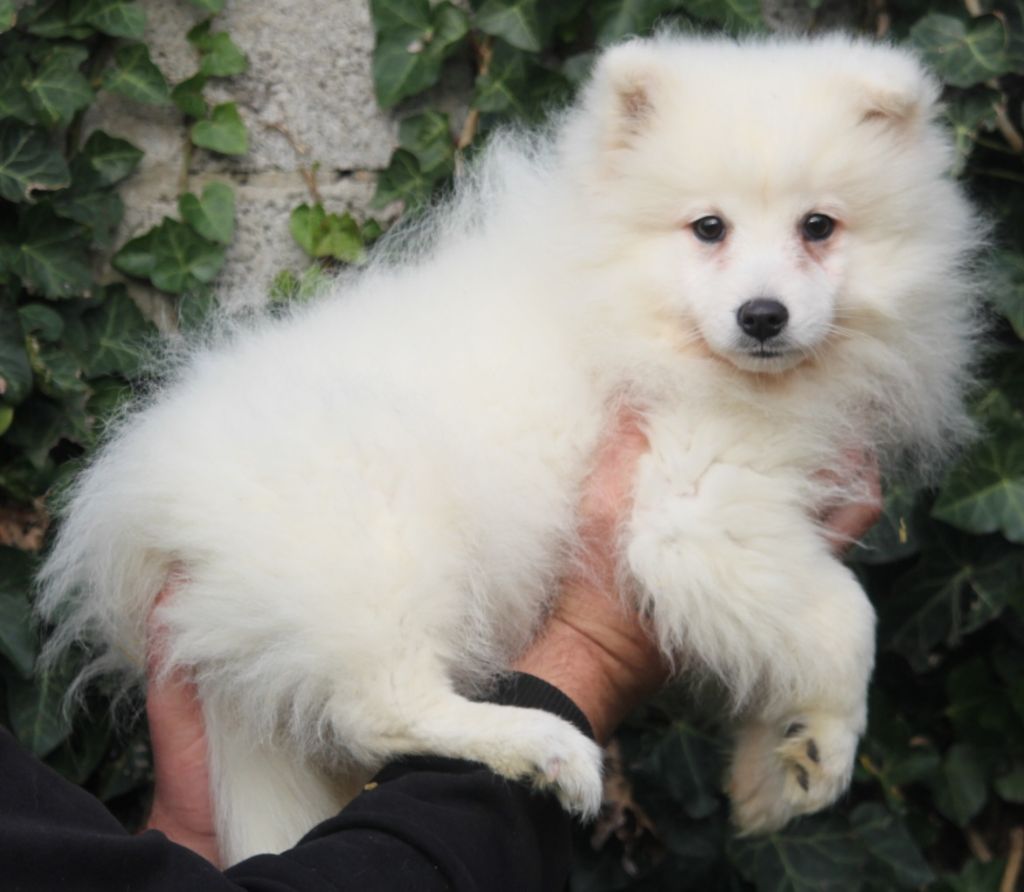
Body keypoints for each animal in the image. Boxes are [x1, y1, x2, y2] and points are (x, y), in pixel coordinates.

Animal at [38, 33, 983, 864]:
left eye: (819, 227)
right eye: (708, 228)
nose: (762, 316)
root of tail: (149, 511)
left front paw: (771, 774)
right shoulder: (693, 512)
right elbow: (845, 617)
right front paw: (829, 742)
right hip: (378, 532)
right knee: (380, 707)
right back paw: (539, 745)